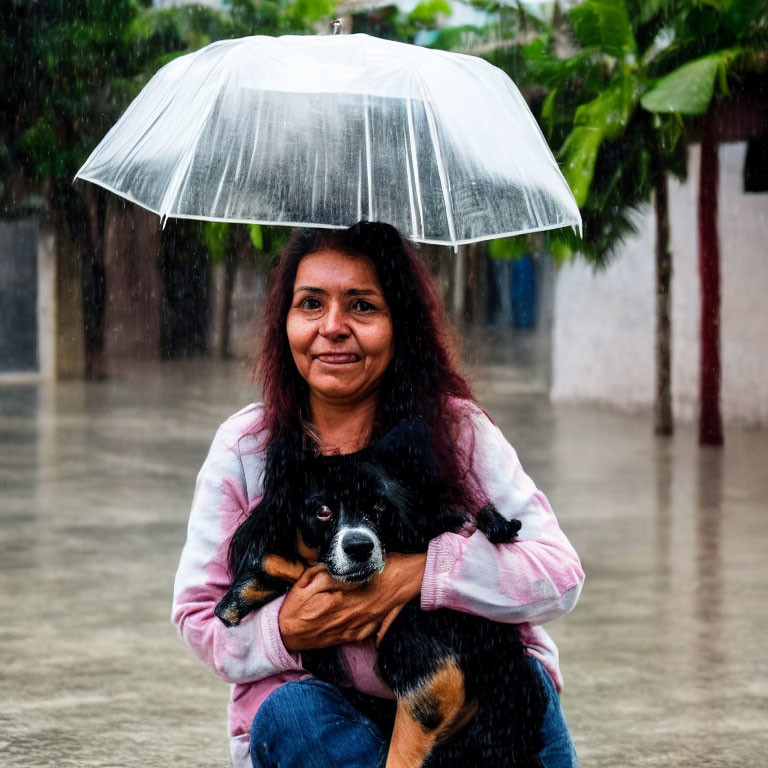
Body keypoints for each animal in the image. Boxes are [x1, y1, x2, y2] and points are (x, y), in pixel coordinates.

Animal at [216, 420, 544, 768]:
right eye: (322, 511)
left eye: (378, 505)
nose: (359, 547)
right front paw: (244, 591)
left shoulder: (434, 678)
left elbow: (401, 753)